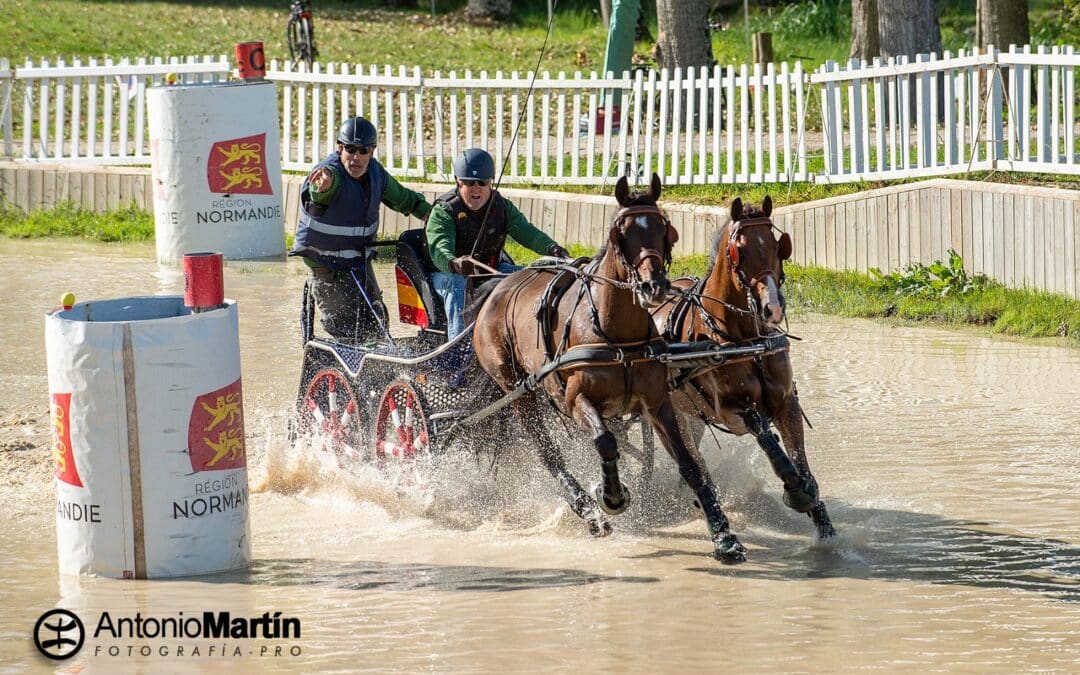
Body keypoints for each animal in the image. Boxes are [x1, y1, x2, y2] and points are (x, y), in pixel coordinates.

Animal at [468, 174, 756, 561]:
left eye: (665, 229)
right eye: (622, 232)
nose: (653, 286)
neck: (615, 333)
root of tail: (498, 286)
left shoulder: (656, 403)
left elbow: (688, 463)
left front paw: (723, 535)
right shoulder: (576, 400)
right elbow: (604, 442)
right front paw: (611, 496)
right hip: (517, 392)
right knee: (549, 452)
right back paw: (588, 510)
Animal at [648, 194, 833, 537]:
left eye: (778, 245)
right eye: (739, 251)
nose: (772, 307)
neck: (749, 342)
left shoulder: (787, 402)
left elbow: (800, 459)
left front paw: (824, 526)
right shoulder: (731, 409)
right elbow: (768, 440)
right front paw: (796, 490)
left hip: (690, 413)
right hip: (668, 415)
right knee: (691, 461)